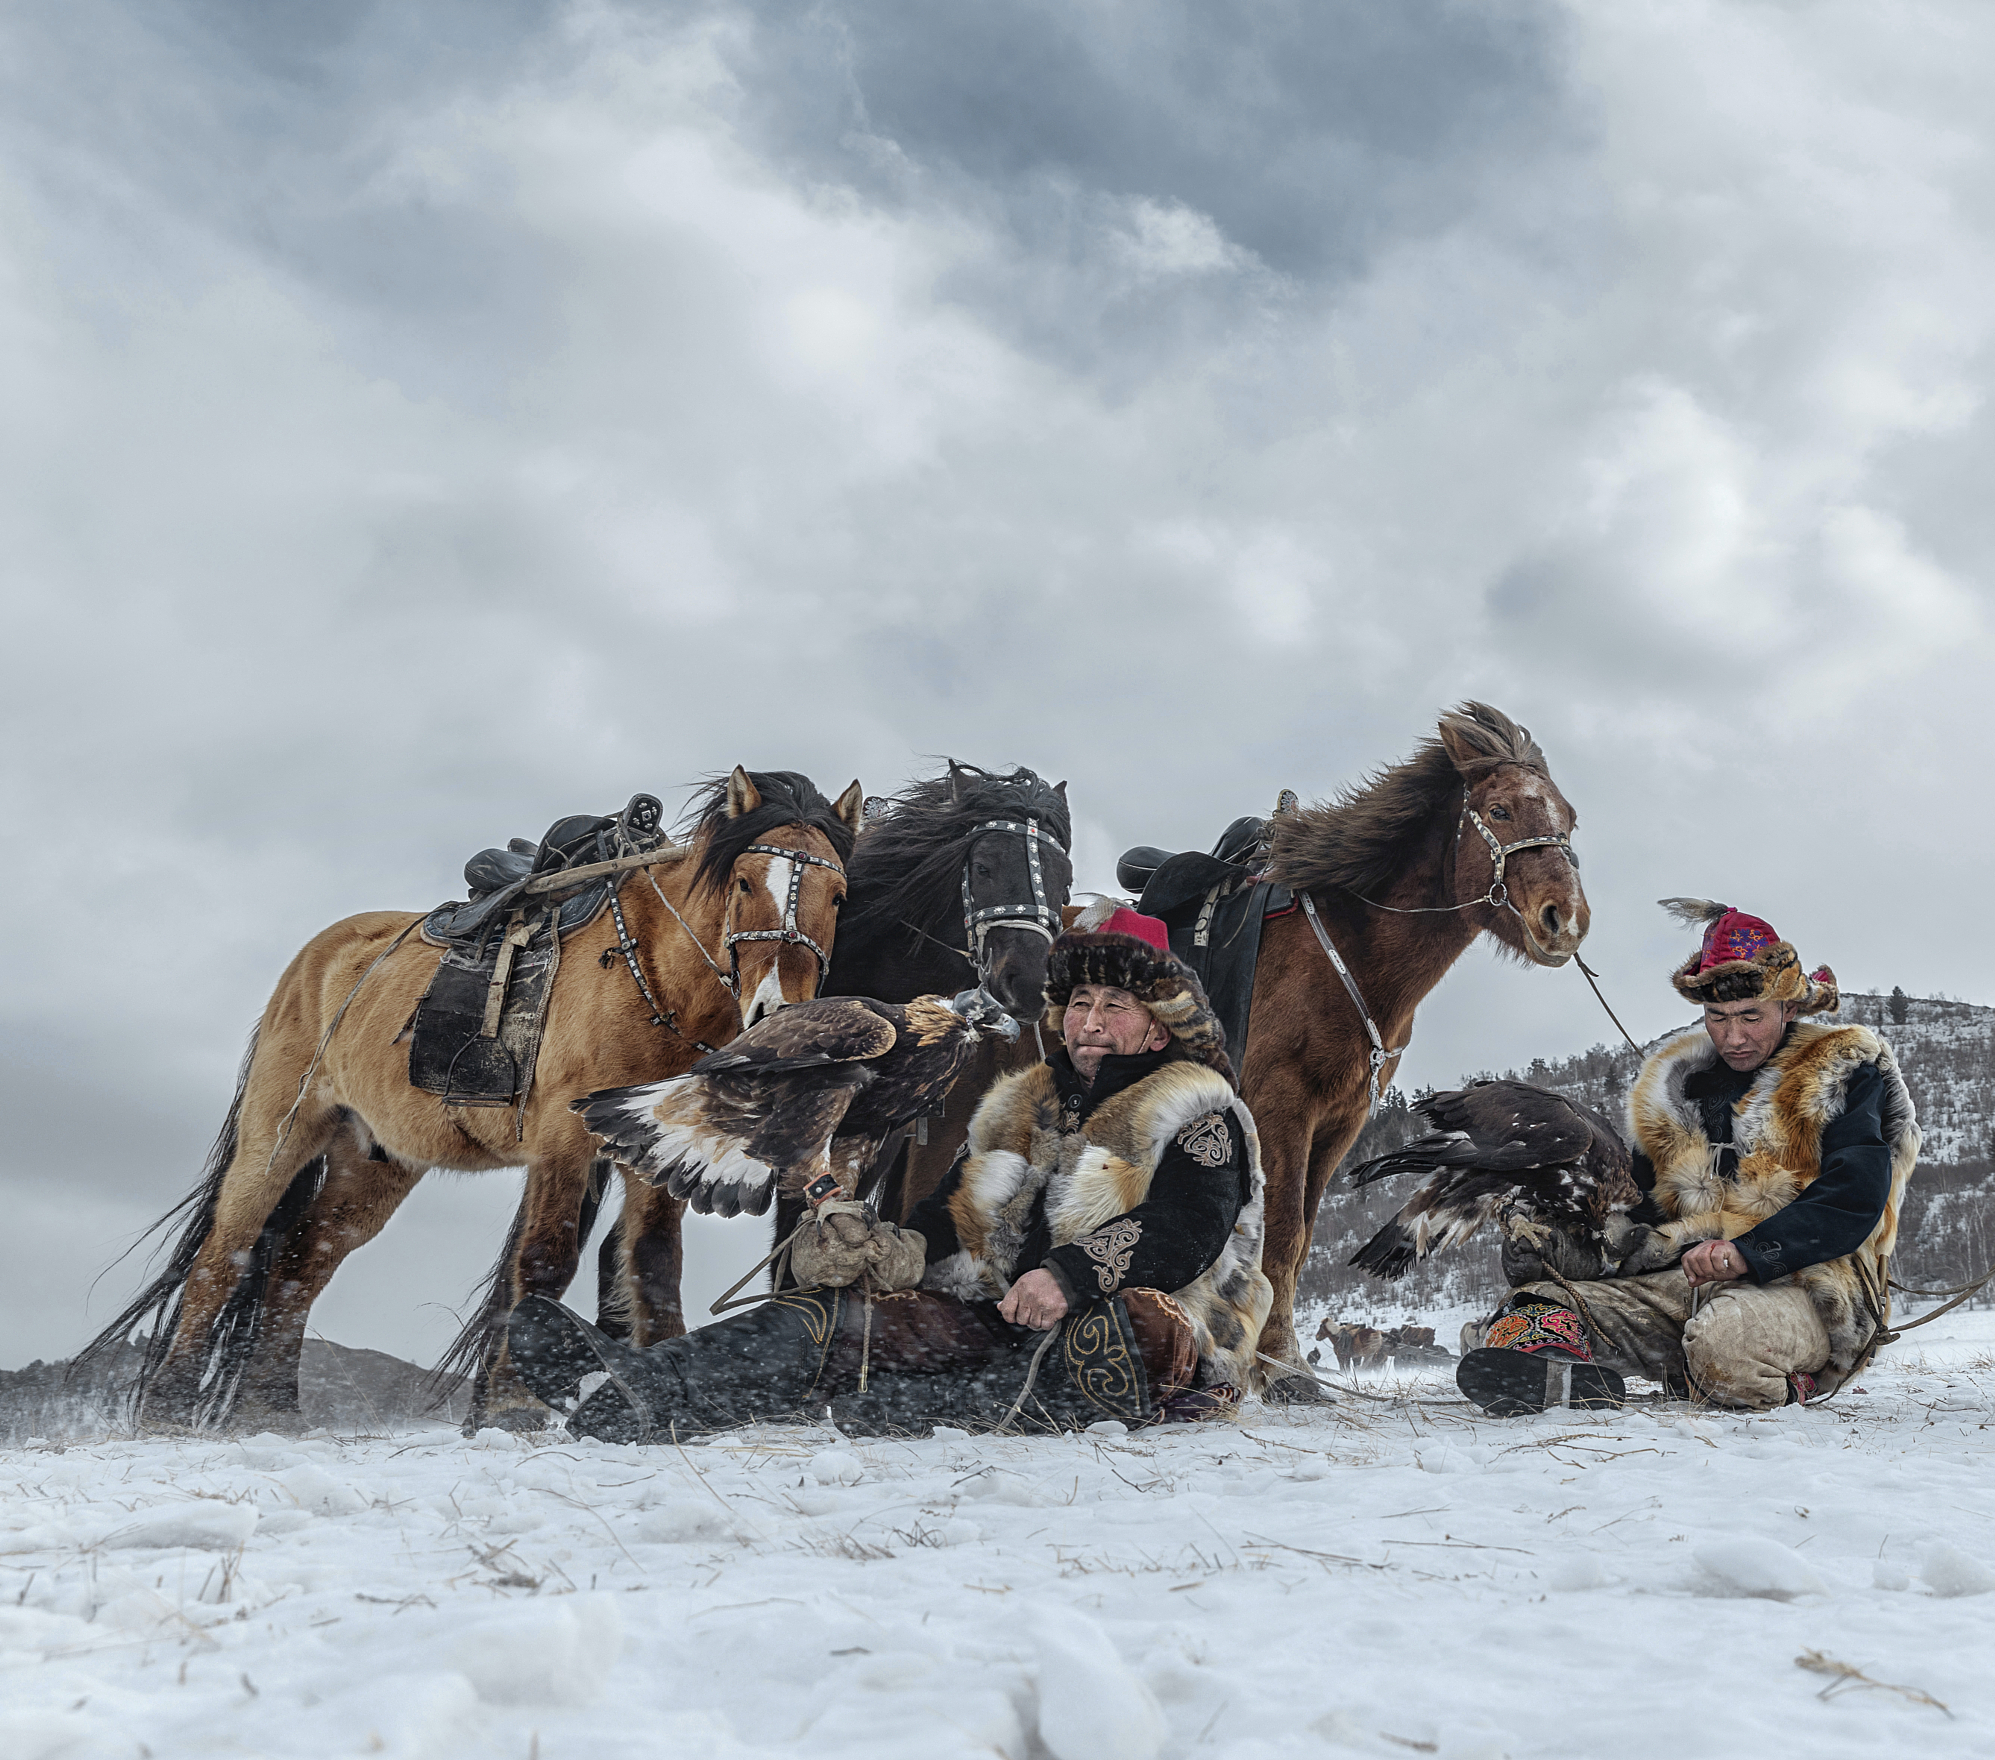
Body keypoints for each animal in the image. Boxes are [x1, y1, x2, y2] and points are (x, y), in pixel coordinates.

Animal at [79, 767, 860, 1432]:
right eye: (743, 881)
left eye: (839, 896)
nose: (777, 1012)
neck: (652, 971)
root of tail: (317, 958)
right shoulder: (563, 1141)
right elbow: (545, 1261)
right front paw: (512, 1406)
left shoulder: (653, 1150)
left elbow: (653, 1264)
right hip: (280, 1134)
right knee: (226, 1253)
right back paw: (168, 1409)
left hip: (374, 1161)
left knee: (301, 1264)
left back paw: (269, 1409)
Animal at [1249, 702, 1589, 1394]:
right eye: (1500, 811)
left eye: (1568, 819)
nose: (1564, 919)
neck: (1344, 955)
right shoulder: (1279, 1109)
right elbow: (1281, 1232)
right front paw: (1281, 1370)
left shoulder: (1340, 1122)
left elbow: (1299, 1240)